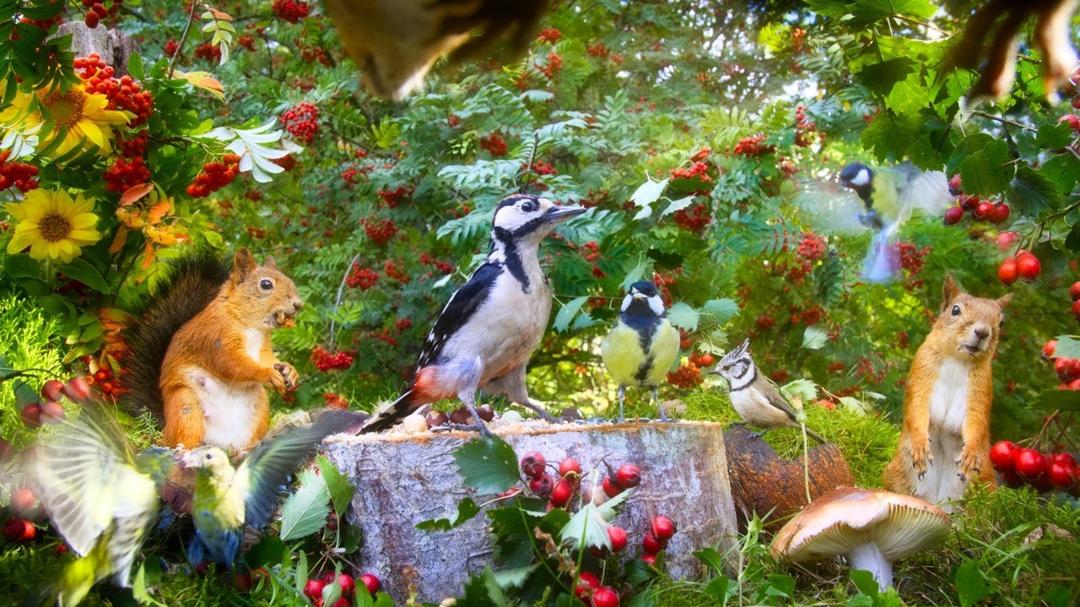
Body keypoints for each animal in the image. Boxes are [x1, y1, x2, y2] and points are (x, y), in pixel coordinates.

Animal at [124, 248, 303, 451]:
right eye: (266, 284)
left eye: (288, 279)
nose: (299, 304)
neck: (250, 325)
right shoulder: (215, 338)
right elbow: (231, 363)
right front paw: (268, 374)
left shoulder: (262, 349)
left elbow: (268, 360)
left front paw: (289, 370)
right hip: (186, 406)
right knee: (184, 439)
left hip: (260, 405)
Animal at [883, 275, 1011, 509]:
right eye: (955, 310)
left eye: (1001, 322)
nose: (982, 332)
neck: (957, 359)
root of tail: (936, 501)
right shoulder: (921, 374)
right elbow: (916, 409)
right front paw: (919, 443)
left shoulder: (979, 391)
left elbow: (976, 421)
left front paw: (970, 452)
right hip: (896, 476)